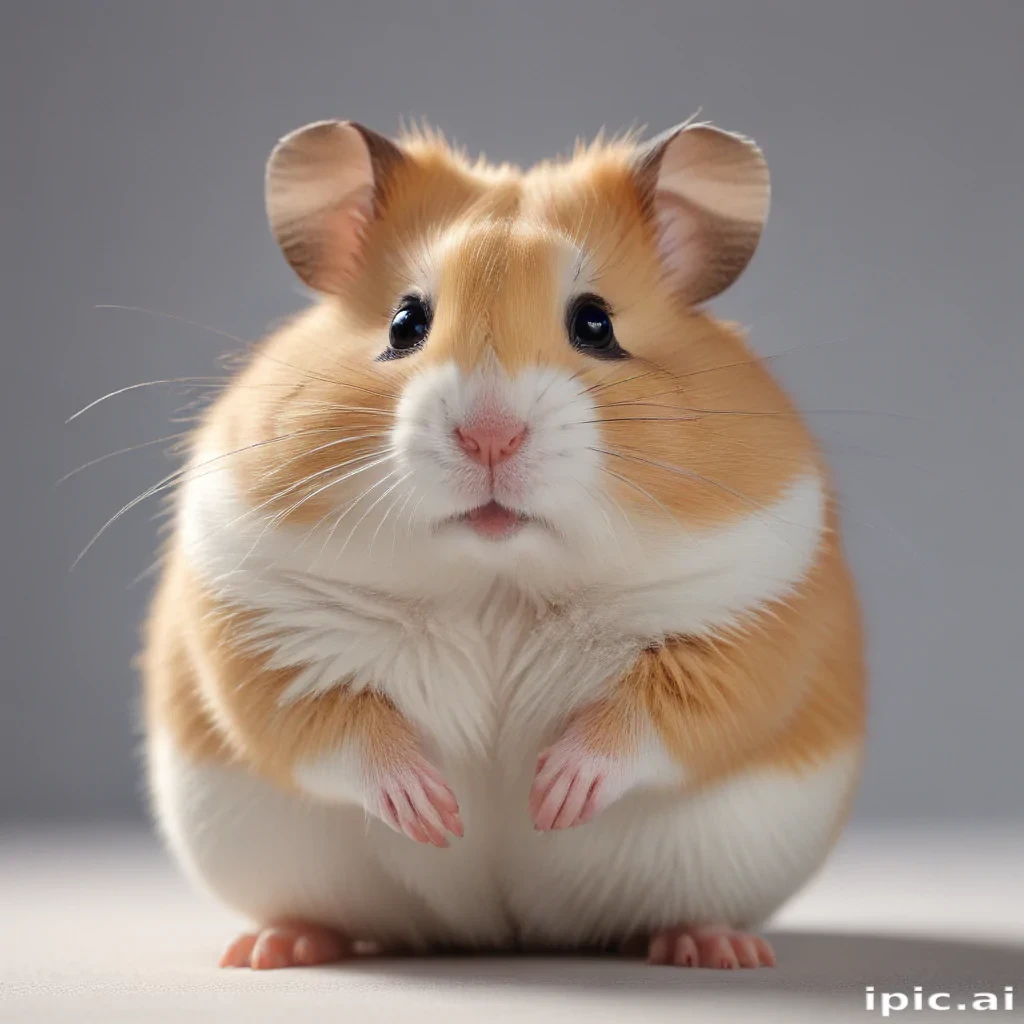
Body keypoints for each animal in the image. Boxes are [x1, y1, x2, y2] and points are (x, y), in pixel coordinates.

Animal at [142, 117, 865, 971]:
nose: (490, 436)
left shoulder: (743, 617)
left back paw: (716, 948)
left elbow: (655, 715)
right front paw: (436, 814)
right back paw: (272, 948)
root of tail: (504, 934)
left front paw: (550, 798)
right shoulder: (264, 625)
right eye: (404, 324)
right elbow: (332, 726)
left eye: (596, 324)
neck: (497, 580)